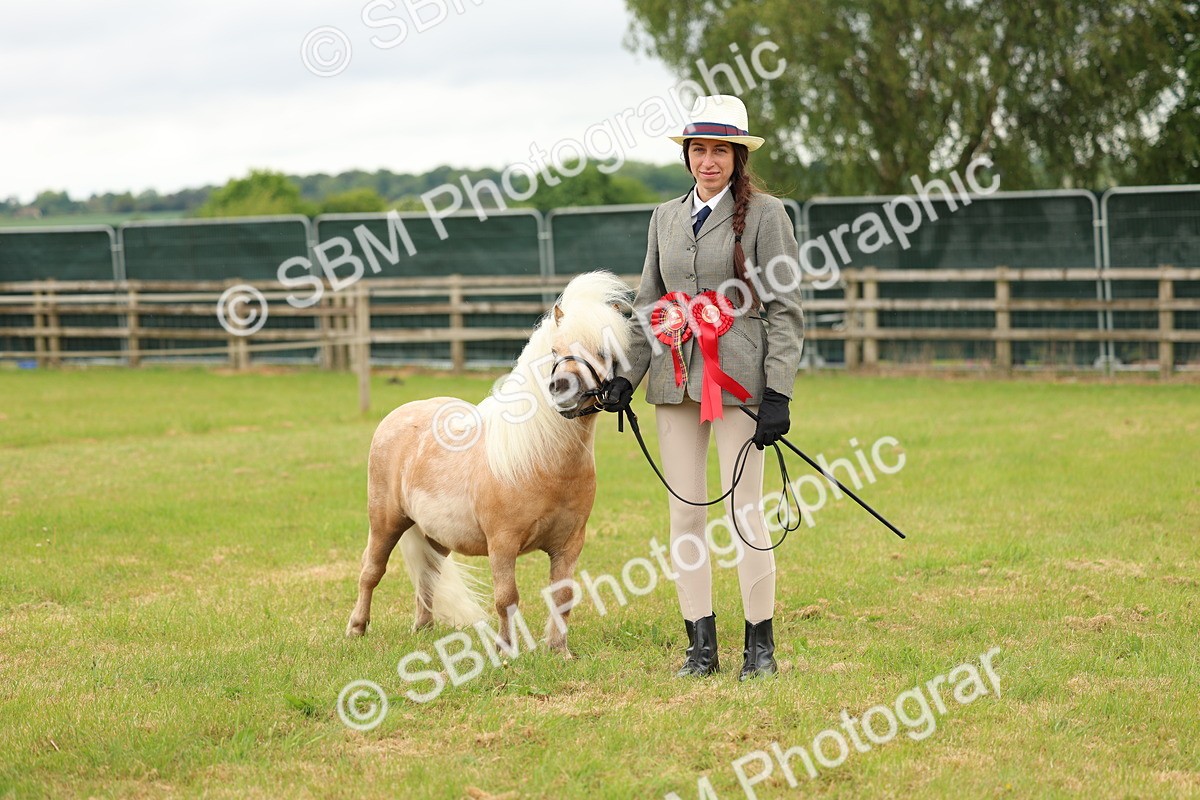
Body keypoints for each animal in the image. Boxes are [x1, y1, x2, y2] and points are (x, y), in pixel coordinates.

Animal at [345, 270, 633, 656]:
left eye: (603, 352)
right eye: (554, 351)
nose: (562, 389)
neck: (543, 462)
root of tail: (399, 415)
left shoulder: (570, 545)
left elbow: (563, 597)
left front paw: (559, 651)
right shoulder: (502, 544)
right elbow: (506, 598)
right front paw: (505, 650)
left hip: (434, 536)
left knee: (427, 574)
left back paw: (423, 627)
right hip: (385, 522)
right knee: (371, 572)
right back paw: (356, 629)